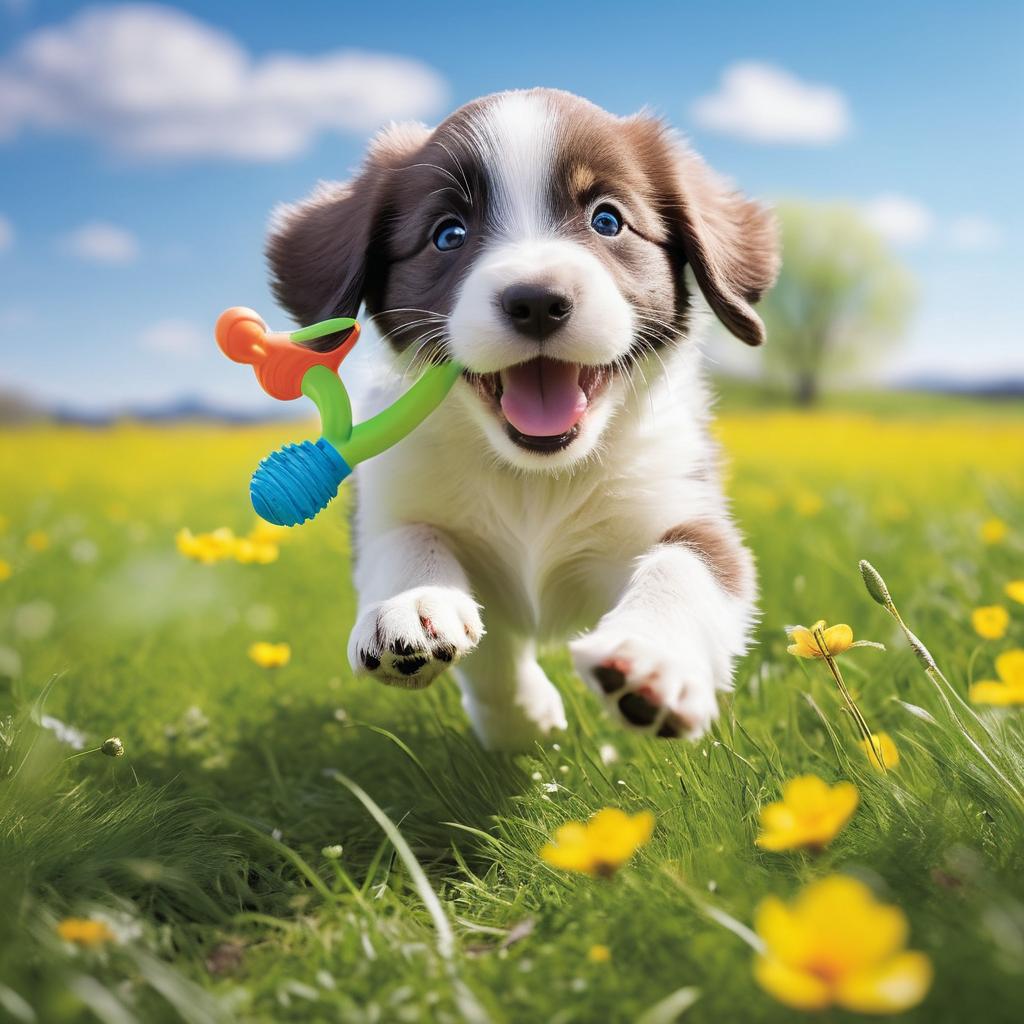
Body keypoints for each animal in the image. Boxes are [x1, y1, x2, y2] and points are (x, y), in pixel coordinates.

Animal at [268, 88, 778, 753]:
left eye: (608, 220)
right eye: (448, 235)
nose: (536, 300)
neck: (537, 478)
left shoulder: (683, 503)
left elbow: (687, 568)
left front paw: (650, 660)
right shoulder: (392, 495)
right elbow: (413, 544)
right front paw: (417, 610)